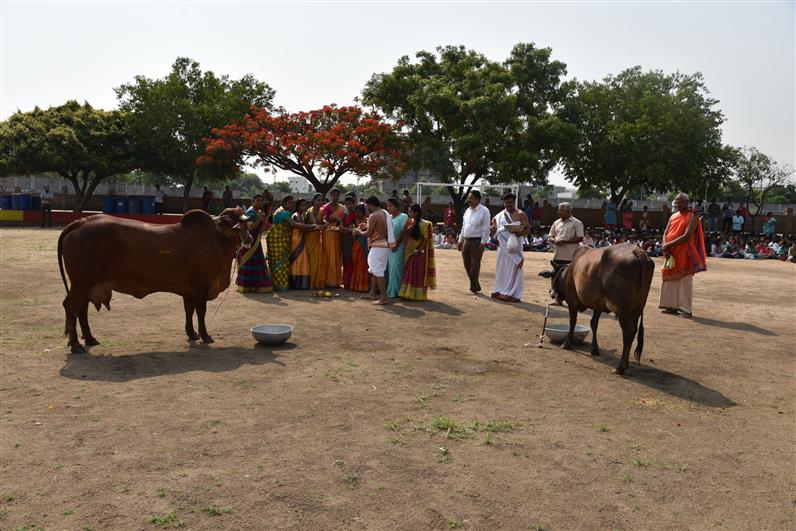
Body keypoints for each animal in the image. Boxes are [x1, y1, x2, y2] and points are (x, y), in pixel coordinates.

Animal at [58, 208, 250, 354]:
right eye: (243, 225)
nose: (249, 238)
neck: (215, 238)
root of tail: (81, 222)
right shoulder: (201, 286)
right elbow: (201, 311)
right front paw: (205, 335)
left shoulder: (188, 291)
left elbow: (189, 310)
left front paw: (192, 333)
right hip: (81, 284)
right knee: (71, 306)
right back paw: (76, 345)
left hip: (86, 286)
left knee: (81, 309)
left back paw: (90, 338)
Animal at [536, 244, 656, 374]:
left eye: (552, 277)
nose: (552, 293)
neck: (569, 272)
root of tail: (638, 251)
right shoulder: (598, 304)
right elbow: (594, 324)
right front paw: (594, 349)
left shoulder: (572, 300)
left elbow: (572, 322)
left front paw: (567, 344)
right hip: (637, 309)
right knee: (633, 331)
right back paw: (627, 363)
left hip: (623, 310)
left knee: (628, 332)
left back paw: (620, 367)